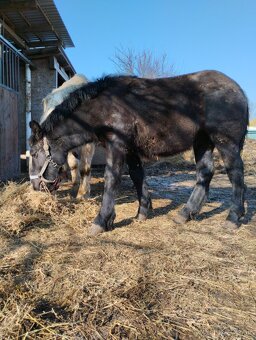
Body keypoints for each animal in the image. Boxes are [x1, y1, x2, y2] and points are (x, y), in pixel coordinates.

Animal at [28, 70, 248, 235]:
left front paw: (102, 220)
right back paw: (186, 213)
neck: (106, 107)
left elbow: (112, 179)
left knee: (235, 173)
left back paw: (233, 217)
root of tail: (238, 90)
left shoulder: (117, 146)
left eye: (34, 154)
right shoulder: (131, 150)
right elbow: (137, 177)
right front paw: (142, 212)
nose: (35, 186)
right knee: (205, 173)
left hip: (225, 142)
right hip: (202, 142)